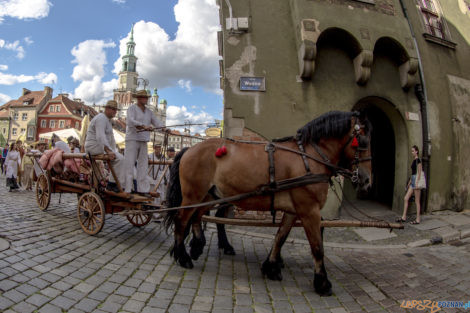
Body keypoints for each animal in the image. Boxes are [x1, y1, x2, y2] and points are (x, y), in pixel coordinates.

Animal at [164, 110, 370, 294]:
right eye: (363, 141)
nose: (367, 179)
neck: (308, 158)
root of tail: (190, 149)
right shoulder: (309, 210)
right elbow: (317, 247)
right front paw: (322, 283)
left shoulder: (294, 210)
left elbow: (280, 237)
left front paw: (271, 266)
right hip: (193, 194)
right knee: (182, 220)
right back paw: (183, 256)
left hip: (211, 194)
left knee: (197, 215)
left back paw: (198, 245)